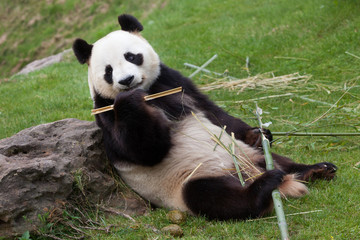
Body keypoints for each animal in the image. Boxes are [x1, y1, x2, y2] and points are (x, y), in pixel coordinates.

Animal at [73, 13, 338, 219]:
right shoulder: (105, 112)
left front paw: (257, 132)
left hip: (245, 154)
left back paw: (316, 169)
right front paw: (129, 100)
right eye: (108, 71)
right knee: (213, 196)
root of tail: (245, 172)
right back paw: (263, 188)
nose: (126, 81)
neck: (149, 92)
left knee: (276, 159)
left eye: (131, 56)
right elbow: (144, 150)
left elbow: (214, 113)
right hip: (187, 180)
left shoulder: (173, 81)